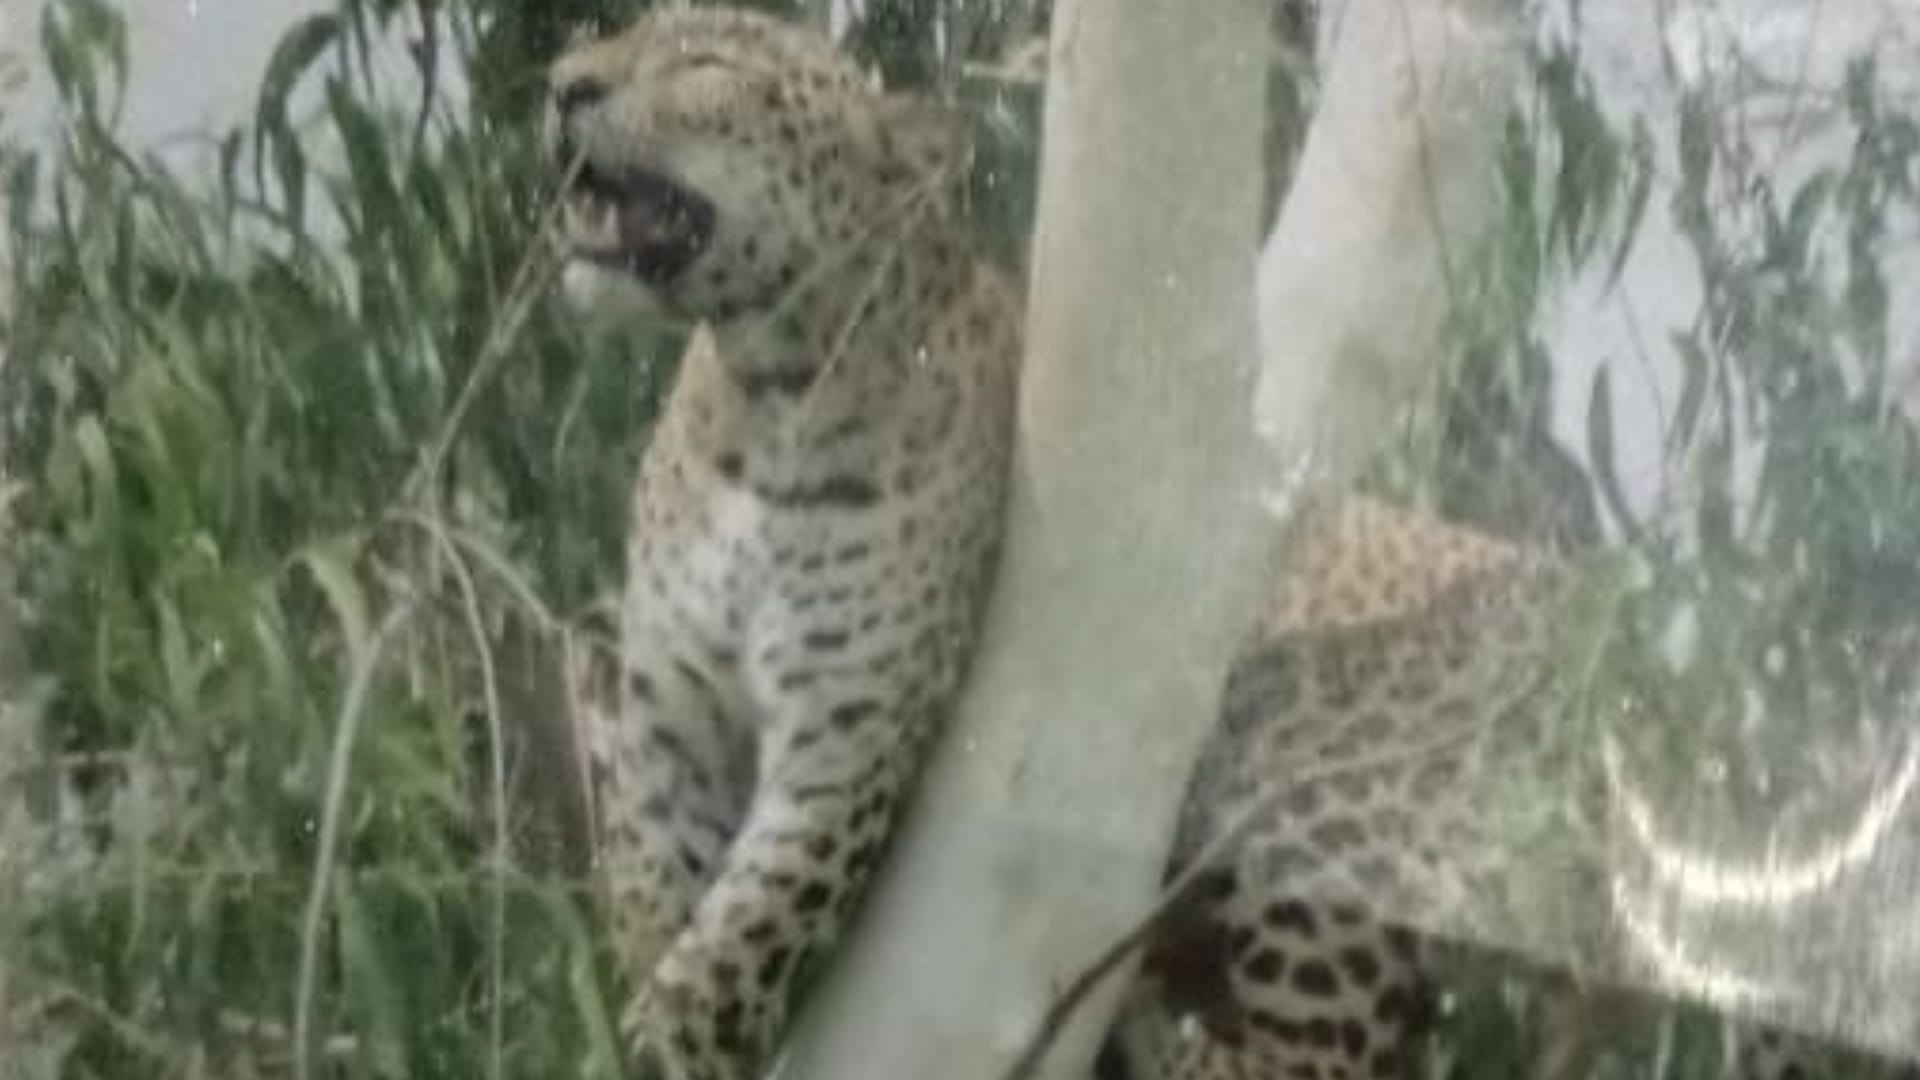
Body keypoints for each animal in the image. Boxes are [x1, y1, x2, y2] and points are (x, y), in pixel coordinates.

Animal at [546, 8, 1017, 1078]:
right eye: (631, 32)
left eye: (706, 63)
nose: (561, 83)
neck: (772, 404)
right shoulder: (668, 714)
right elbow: (654, 898)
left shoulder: (844, 738)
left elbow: (731, 947)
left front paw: (661, 1043)